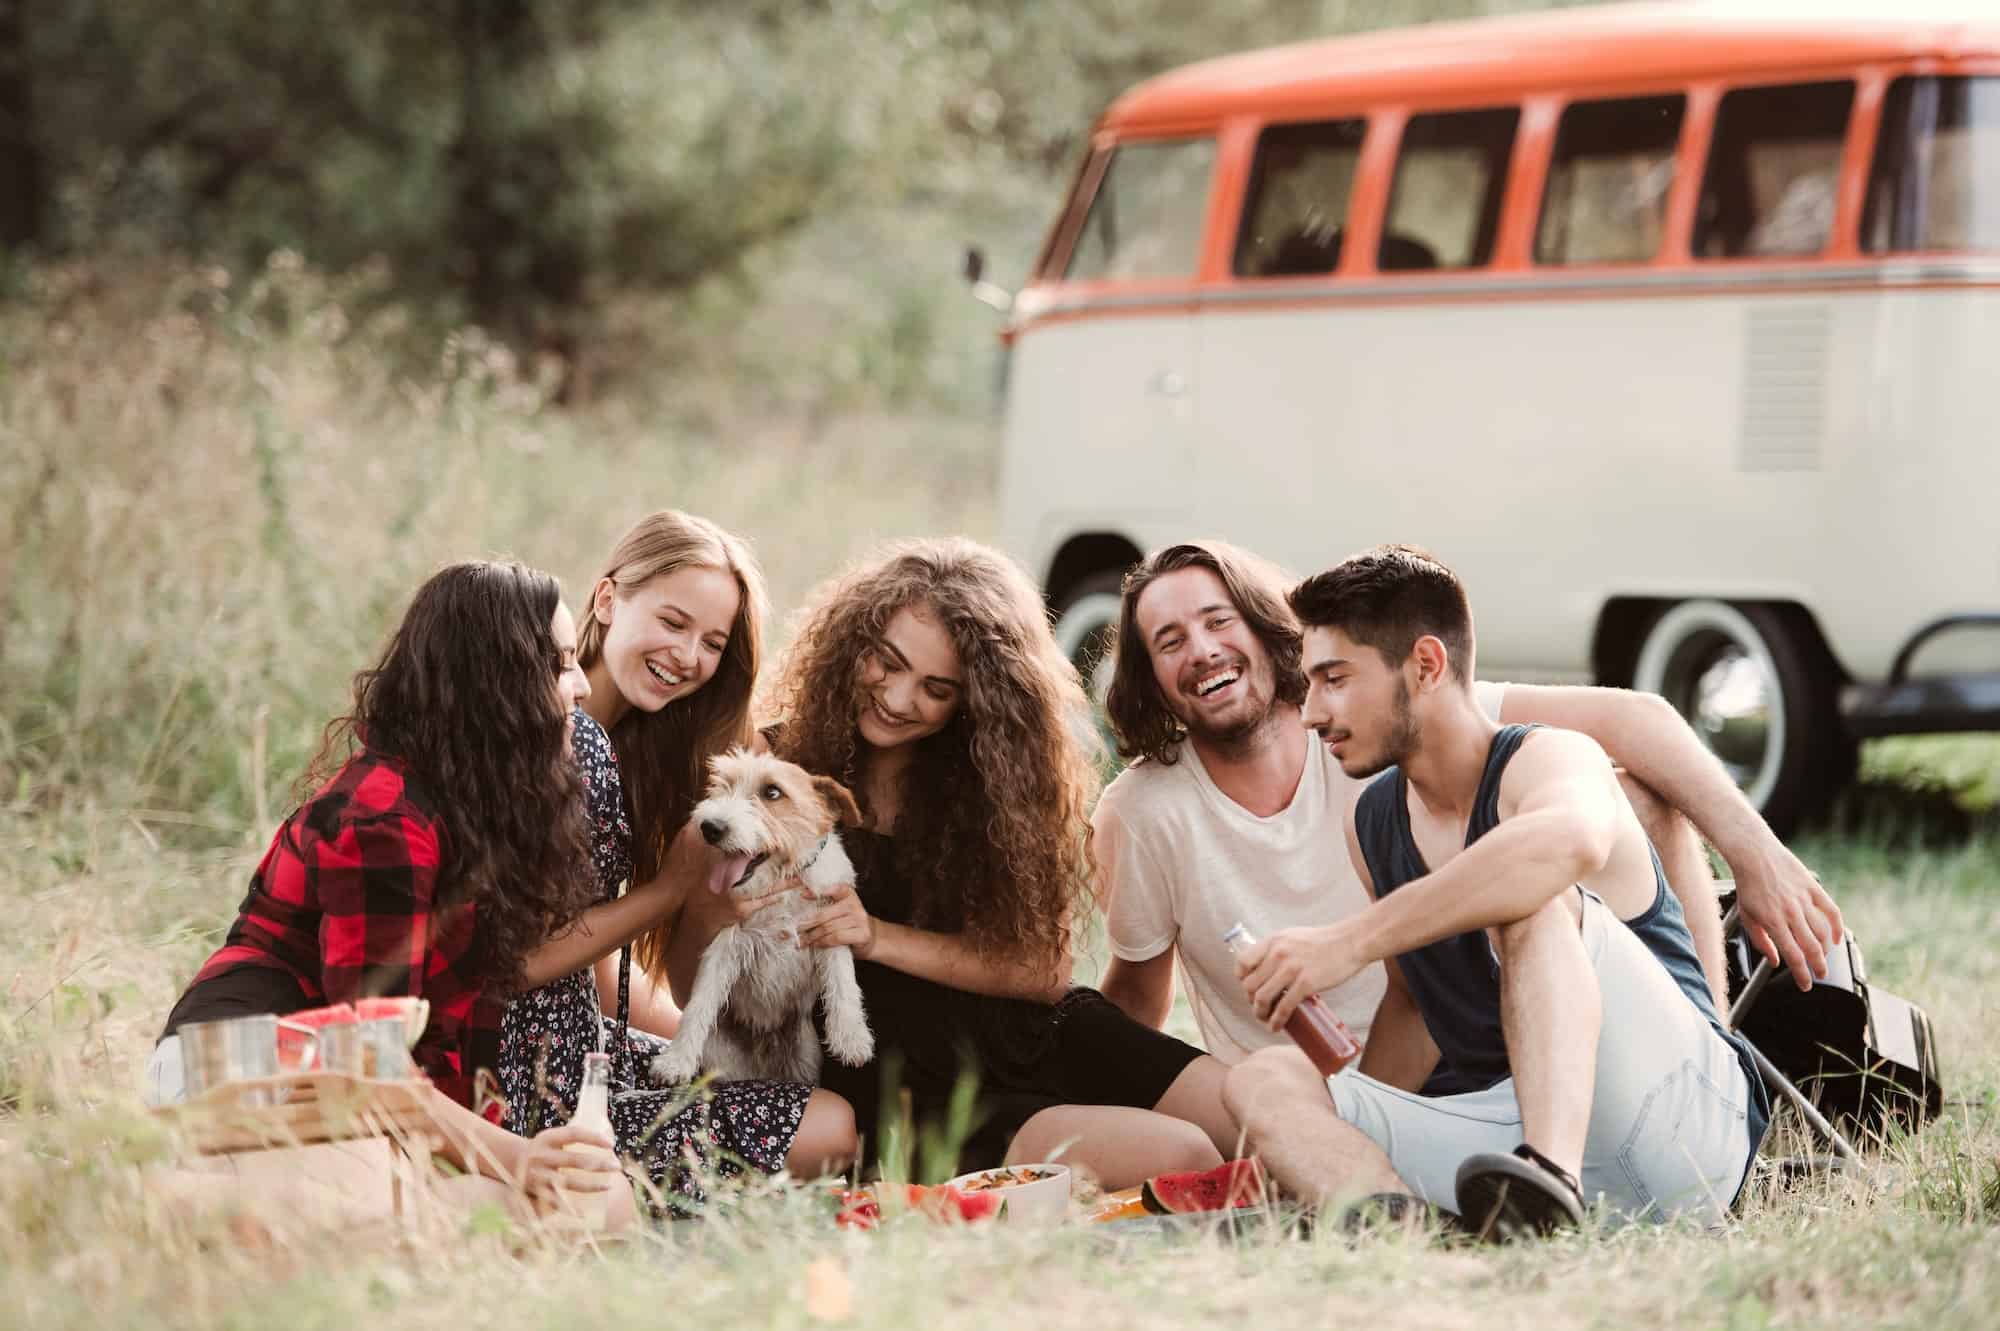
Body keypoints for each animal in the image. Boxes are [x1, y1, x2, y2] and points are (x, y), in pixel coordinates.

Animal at [652, 739, 872, 1087]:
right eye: (724, 784)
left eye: (772, 792)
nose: (709, 828)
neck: (782, 884)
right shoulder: (724, 944)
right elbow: (699, 1002)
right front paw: (676, 1060)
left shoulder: (832, 924)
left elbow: (844, 982)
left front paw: (852, 1038)